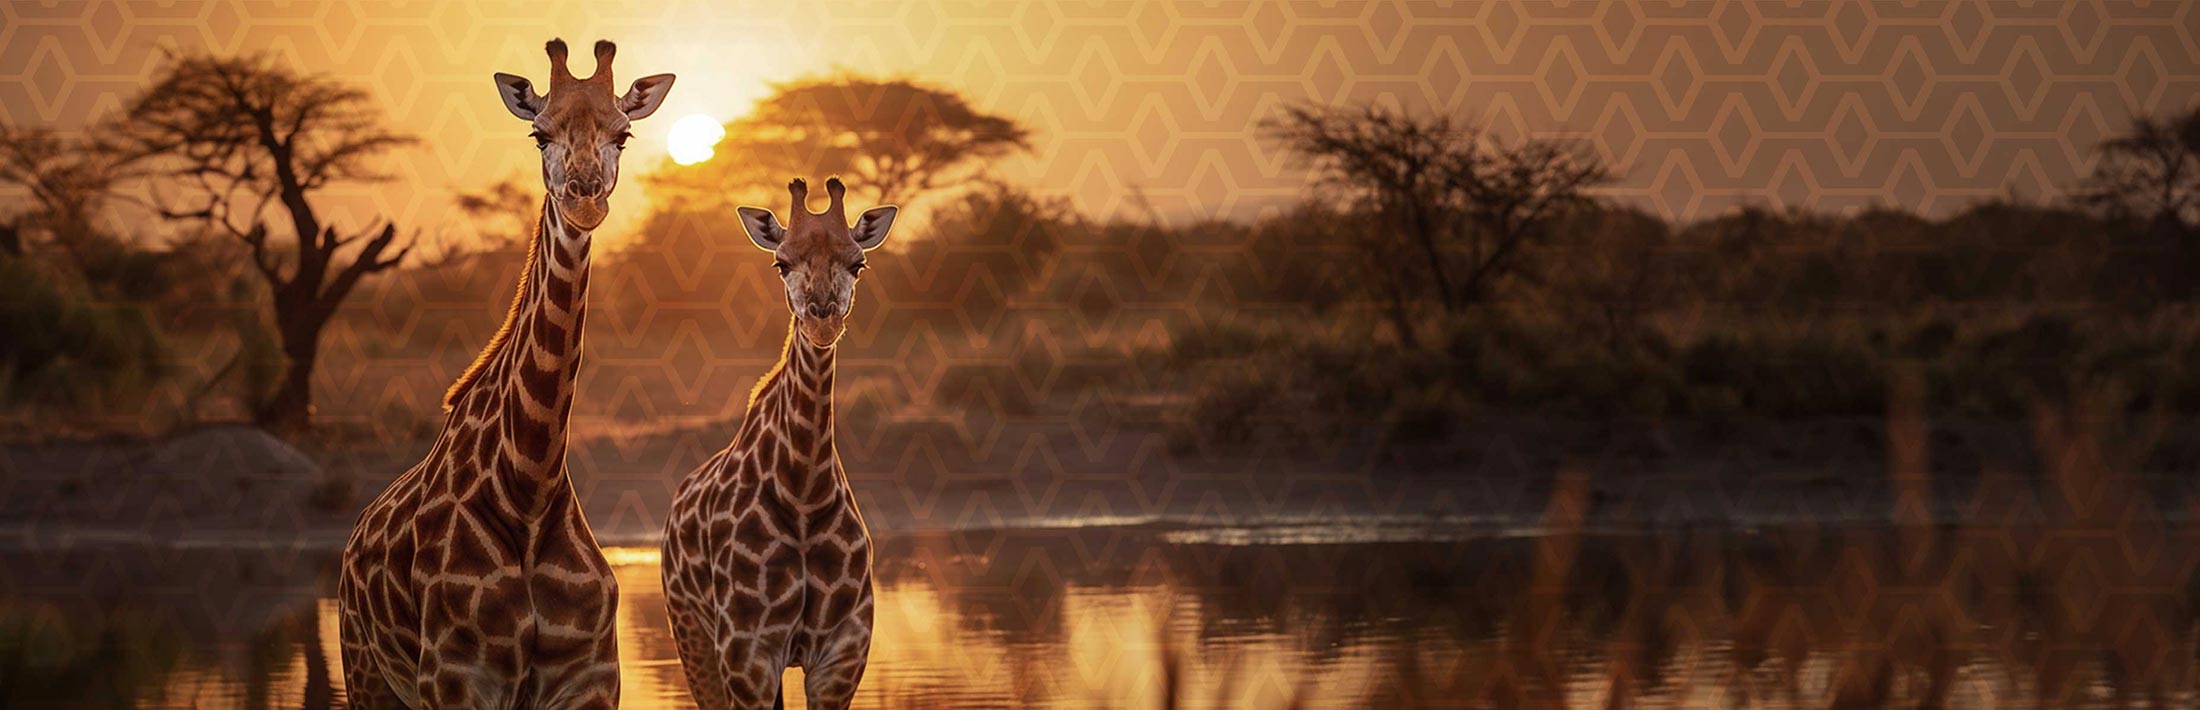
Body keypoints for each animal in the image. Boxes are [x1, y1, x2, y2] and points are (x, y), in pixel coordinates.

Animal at [336, 39, 673, 709]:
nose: (584, 199)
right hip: (367, 676)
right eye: (538, 133)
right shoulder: (454, 680)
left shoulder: (591, 680)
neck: (531, 486)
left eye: (623, 135)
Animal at [661, 176, 900, 709]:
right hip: (692, 635)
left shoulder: (842, 654)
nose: (821, 319)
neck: (804, 495)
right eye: (781, 263)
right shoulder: (747, 653)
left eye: (858, 263)